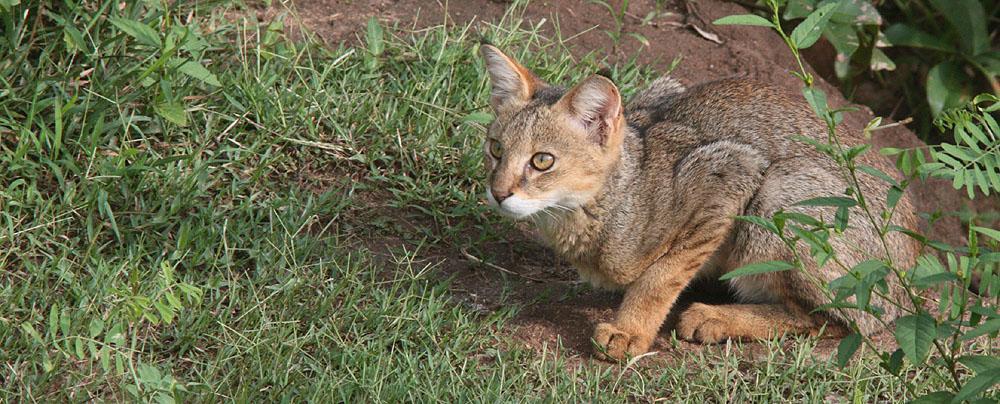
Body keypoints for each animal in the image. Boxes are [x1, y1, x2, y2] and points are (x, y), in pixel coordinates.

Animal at [478, 44, 920, 360]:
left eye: (542, 161)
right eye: (496, 149)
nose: (498, 193)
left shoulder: (732, 171)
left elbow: (661, 275)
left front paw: (631, 331)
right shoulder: (666, 90)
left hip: (776, 200)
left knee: (840, 322)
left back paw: (715, 316)